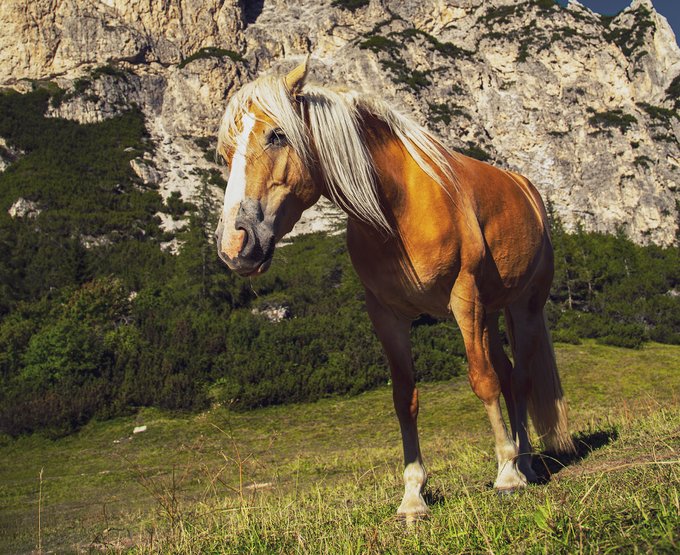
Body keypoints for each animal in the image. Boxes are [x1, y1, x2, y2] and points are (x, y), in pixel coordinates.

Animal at [214, 58, 572, 520]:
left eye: (276, 134)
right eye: (225, 154)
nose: (233, 245)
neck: (396, 208)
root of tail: (527, 190)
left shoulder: (464, 297)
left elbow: (482, 381)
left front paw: (506, 475)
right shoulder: (387, 315)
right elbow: (405, 399)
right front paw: (413, 496)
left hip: (521, 308)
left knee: (521, 378)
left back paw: (523, 462)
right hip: (490, 313)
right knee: (509, 375)